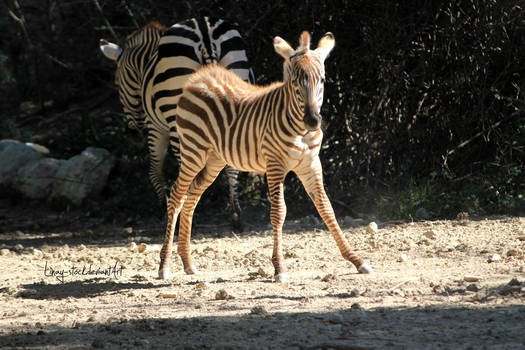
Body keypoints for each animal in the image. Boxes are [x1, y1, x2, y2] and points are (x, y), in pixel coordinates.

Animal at [99, 17, 255, 230]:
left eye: (116, 82)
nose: (134, 136)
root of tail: (205, 30)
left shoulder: (155, 128)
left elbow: (154, 169)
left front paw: (162, 209)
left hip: (177, 114)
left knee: (187, 167)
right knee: (229, 162)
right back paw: (236, 215)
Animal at [157, 30, 372, 282]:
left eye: (322, 80)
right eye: (295, 82)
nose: (313, 121)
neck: (301, 131)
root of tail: (200, 75)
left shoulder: (311, 164)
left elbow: (326, 208)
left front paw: (357, 260)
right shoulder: (275, 165)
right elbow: (279, 212)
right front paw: (279, 268)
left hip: (215, 159)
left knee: (192, 195)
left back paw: (188, 262)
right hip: (193, 150)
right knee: (176, 195)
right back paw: (164, 266)